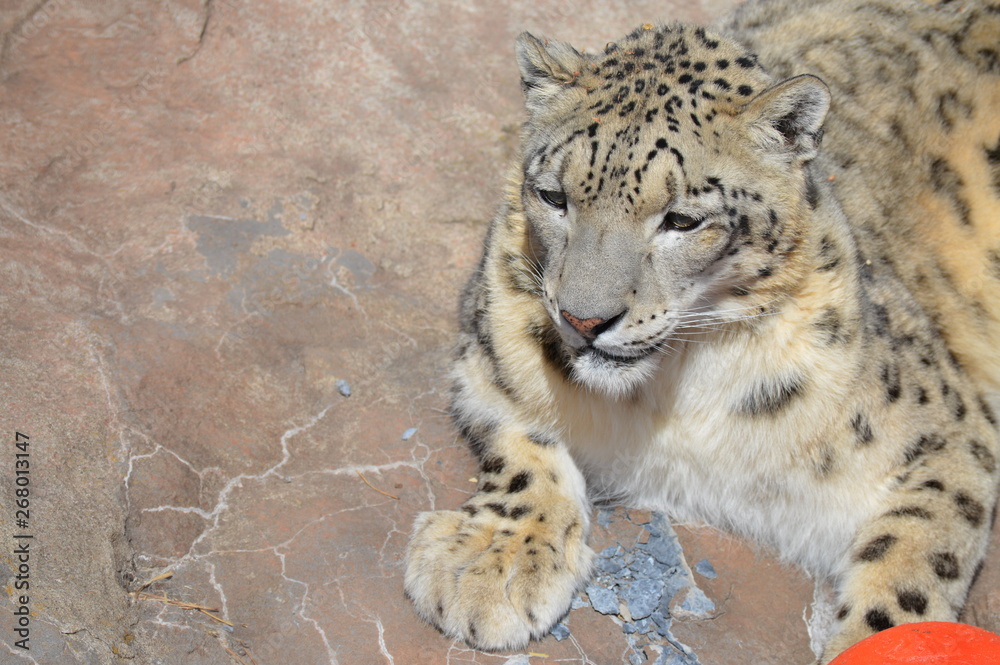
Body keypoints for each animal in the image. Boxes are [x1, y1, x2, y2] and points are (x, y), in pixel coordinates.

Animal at [404, 0, 1000, 661]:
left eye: (683, 220)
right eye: (553, 196)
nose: (584, 320)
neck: (671, 399)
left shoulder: (949, 438)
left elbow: (911, 565)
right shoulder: (490, 353)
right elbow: (523, 441)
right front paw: (488, 565)